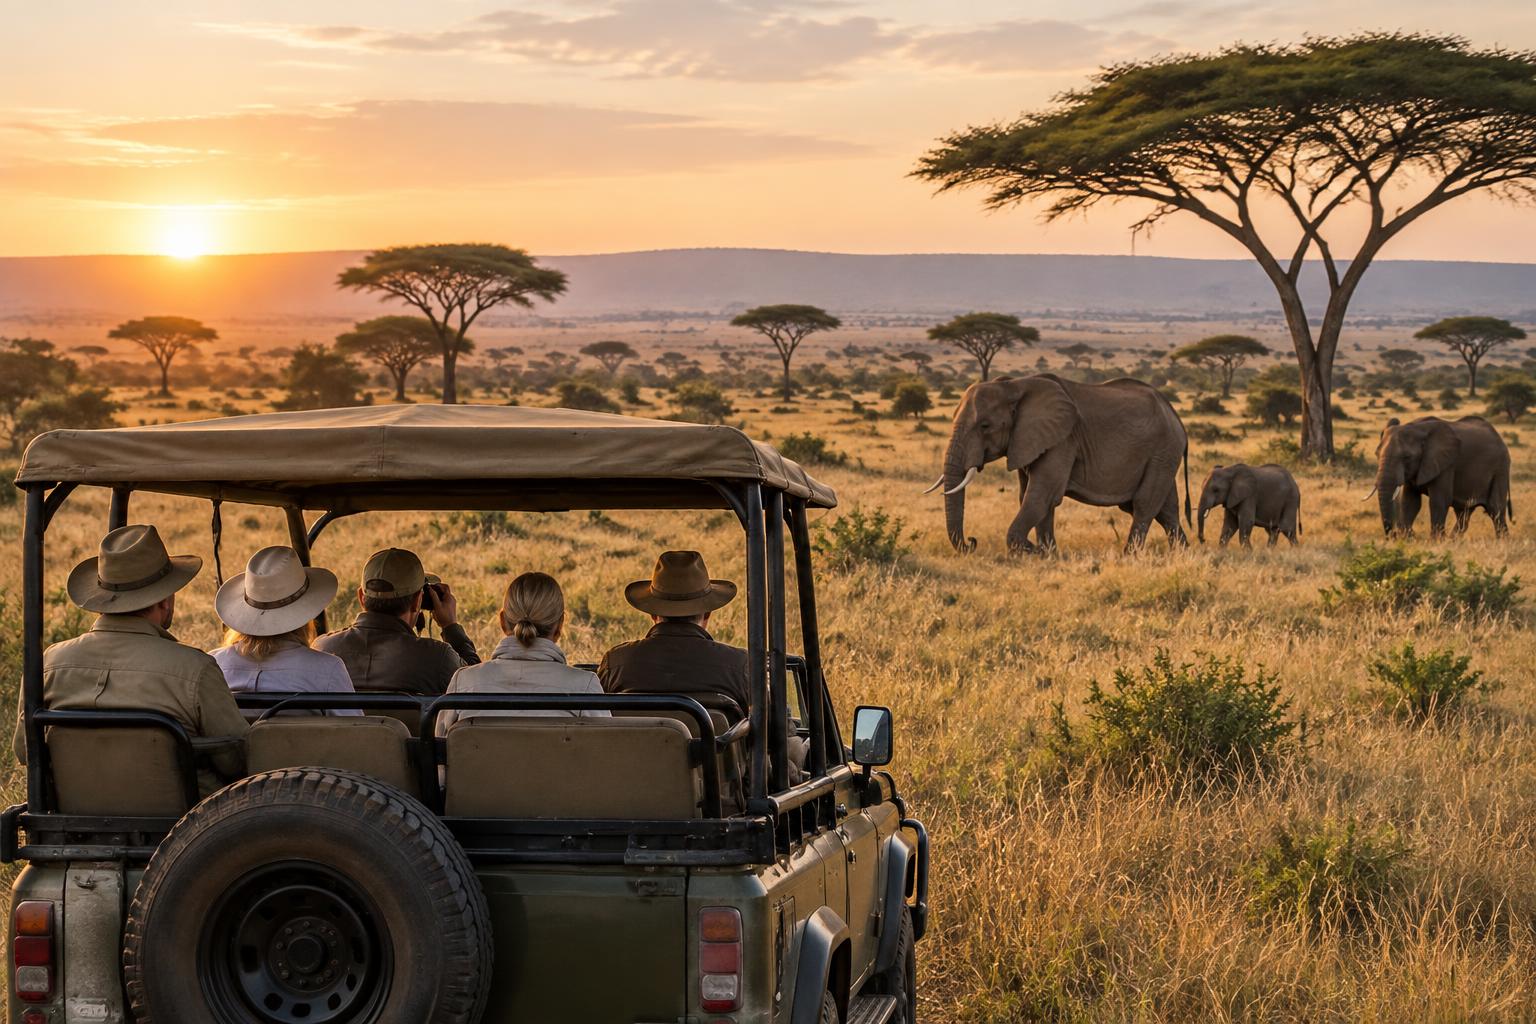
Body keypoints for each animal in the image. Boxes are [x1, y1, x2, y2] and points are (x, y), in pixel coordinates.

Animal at [925, 374, 1189, 554]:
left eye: (985, 426)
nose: (972, 541)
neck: (1013, 386)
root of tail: (1175, 416)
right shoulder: (1028, 442)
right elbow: (1032, 497)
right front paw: (1049, 554)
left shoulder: (1062, 440)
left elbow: (1041, 496)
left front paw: (1035, 551)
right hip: (1163, 455)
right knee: (1167, 510)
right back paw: (1182, 555)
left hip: (1163, 450)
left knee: (1144, 505)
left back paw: (1129, 557)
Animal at [1371, 416, 1512, 538]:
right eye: (1376, 454)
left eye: (1407, 457)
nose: (1394, 534)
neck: (1417, 428)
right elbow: (1410, 502)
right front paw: (1407, 538)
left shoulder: (1446, 465)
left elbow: (1439, 501)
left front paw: (1436, 541)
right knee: (1464, 513)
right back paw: (1453, 541)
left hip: (1500, 469)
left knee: (1495, 509)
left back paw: (1502, 542)